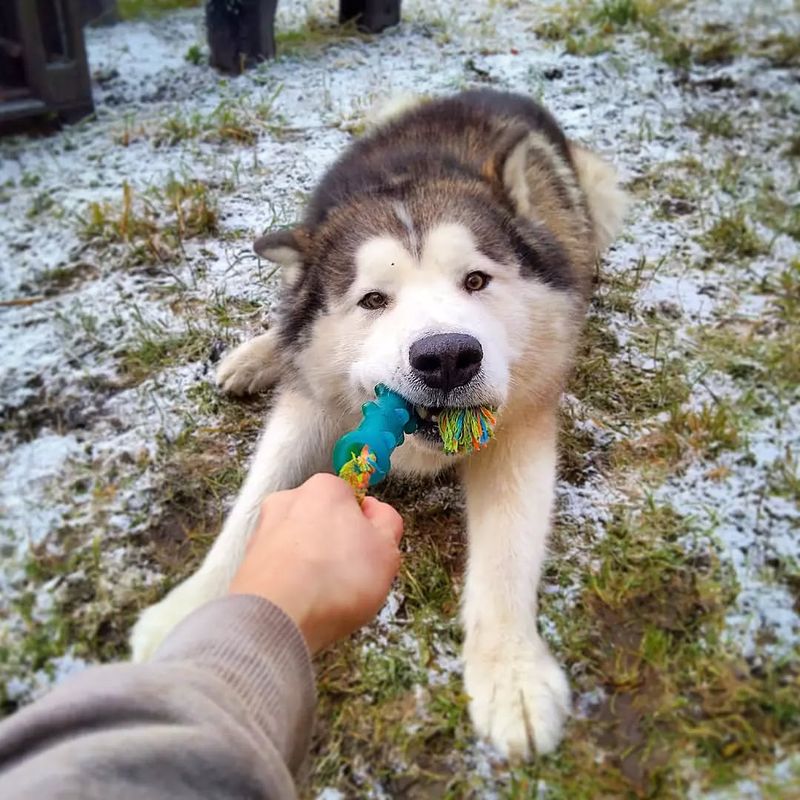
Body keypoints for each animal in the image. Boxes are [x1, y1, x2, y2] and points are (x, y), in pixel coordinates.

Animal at [130, 90, 624, 760]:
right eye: (372, 300)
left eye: (476, 280)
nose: (448, 356)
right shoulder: (309, 406)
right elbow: (256, 504)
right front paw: (191, 607)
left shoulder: (522, 416)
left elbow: (506, 551)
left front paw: (512, 673)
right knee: (288, 311)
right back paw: (257, 354)